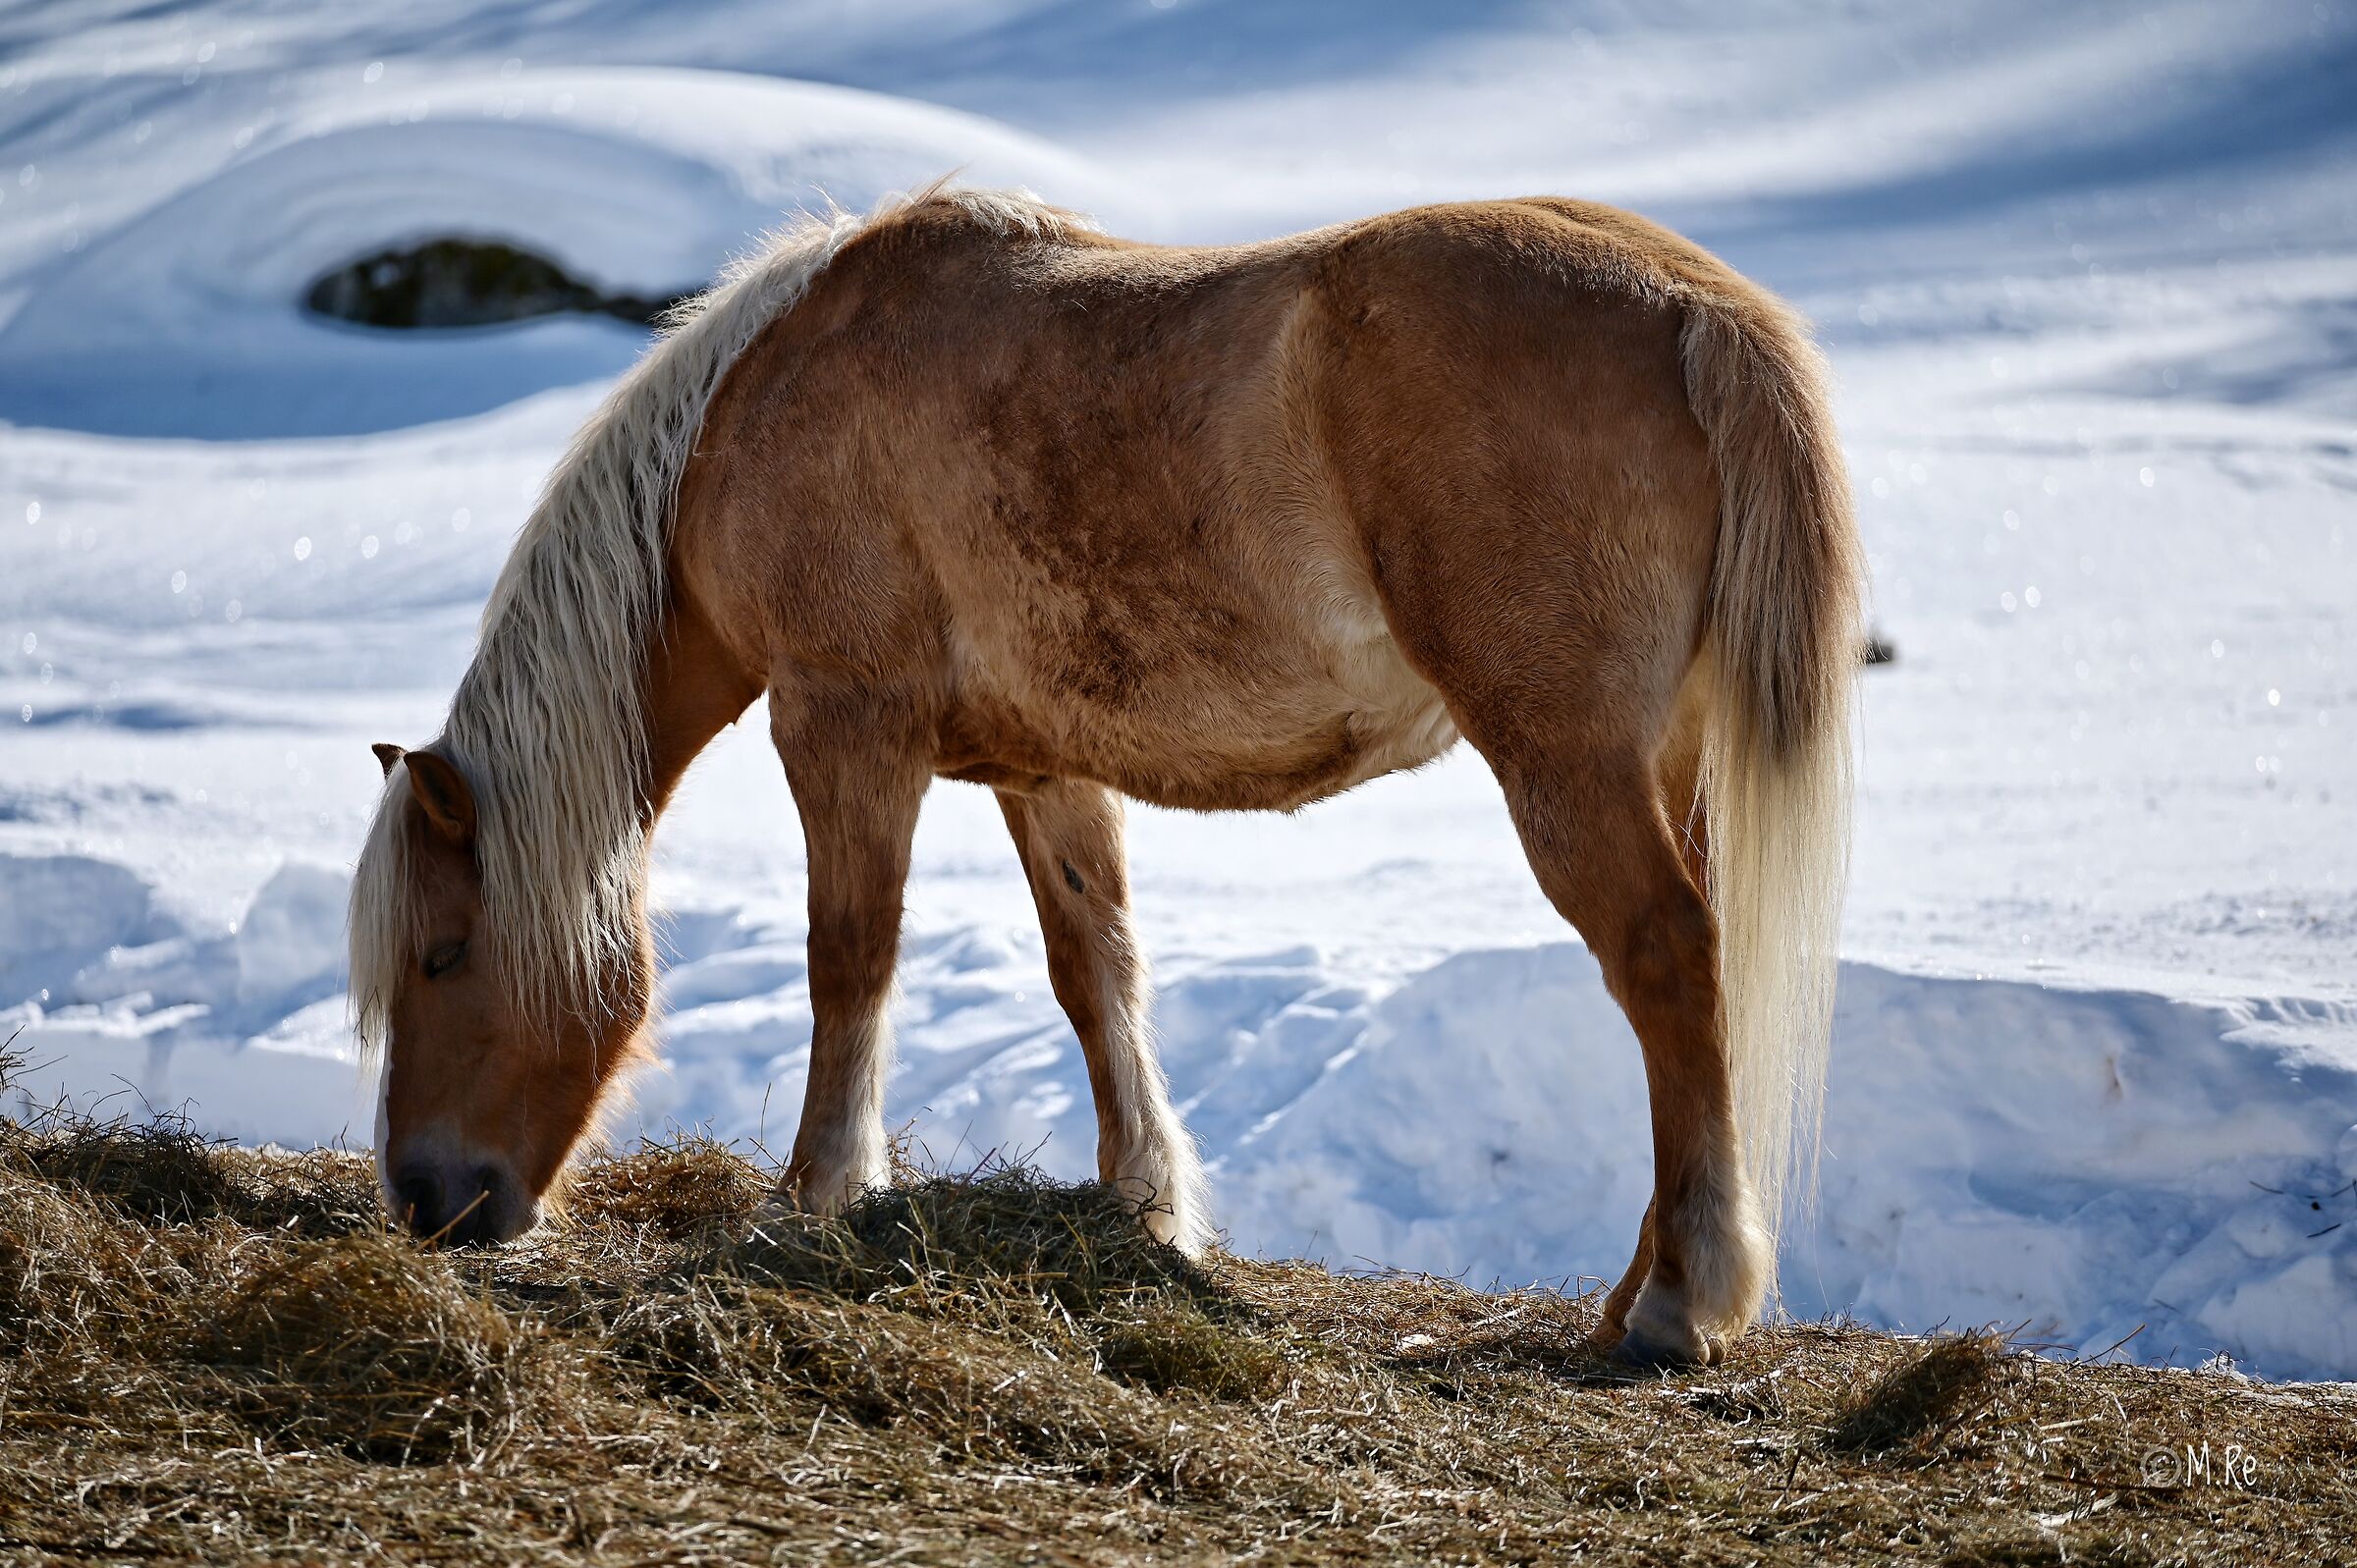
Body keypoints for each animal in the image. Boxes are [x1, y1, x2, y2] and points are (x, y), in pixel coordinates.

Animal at [349, 182, 1859, 1368]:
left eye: (441, 953)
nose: (424, 1200)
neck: (761, 404)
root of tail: (1693, 309)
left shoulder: (843, 726)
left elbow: (850, 957)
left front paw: (817, 1193)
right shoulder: (1044, 771)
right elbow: (1097, 970)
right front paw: (1148, 1204)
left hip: (1568, 763)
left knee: (1665, 960)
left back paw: (1677, 1305)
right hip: (1666, 765)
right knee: (1697, 990)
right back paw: (1636, 1292)